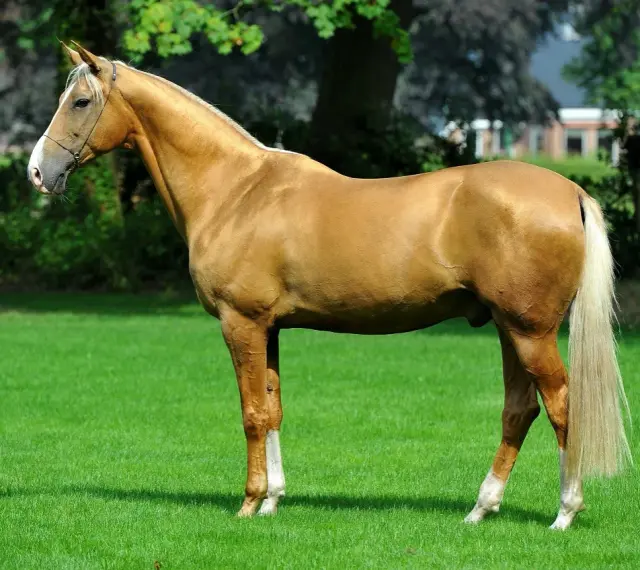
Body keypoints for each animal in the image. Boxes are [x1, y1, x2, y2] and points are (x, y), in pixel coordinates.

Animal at [27, 41, 631, 529]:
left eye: (80, 102)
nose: (37, 172)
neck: (236, 190)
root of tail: (571, 191)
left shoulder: (241, 323)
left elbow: (251, 413)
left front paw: (248, 504)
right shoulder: (269, 328)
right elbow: (272, 408)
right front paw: (273, 500)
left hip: (530, 331)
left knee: (561, 406)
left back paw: (564, 513)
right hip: (508, 329)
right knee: (519, 410)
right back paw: (481, 509)